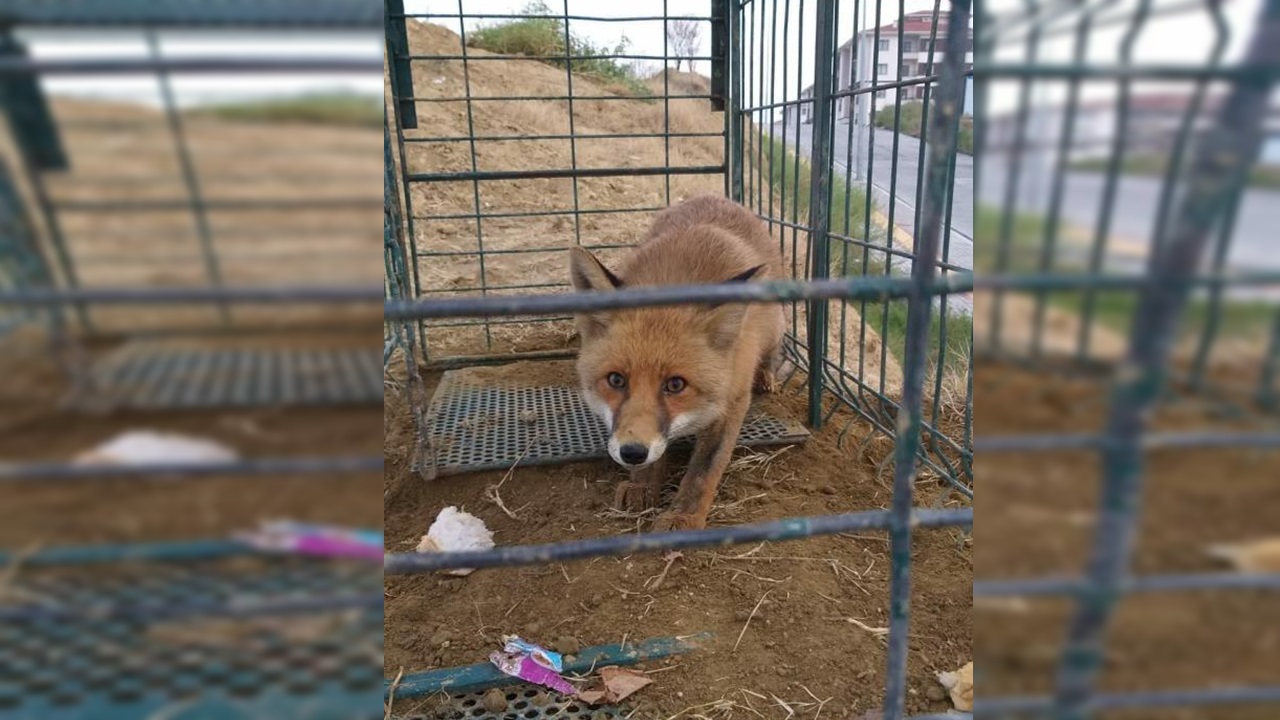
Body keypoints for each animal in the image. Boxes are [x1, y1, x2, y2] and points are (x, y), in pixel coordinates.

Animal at [573, 193, 788, 530]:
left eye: (676, 384)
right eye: (616, 379)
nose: (632, 452)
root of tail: (715, 196)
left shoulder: (733, 399)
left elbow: (704, 470)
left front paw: (684, 515)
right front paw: (642, 485)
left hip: (777, 325)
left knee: (772, 354)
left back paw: (767, 376)